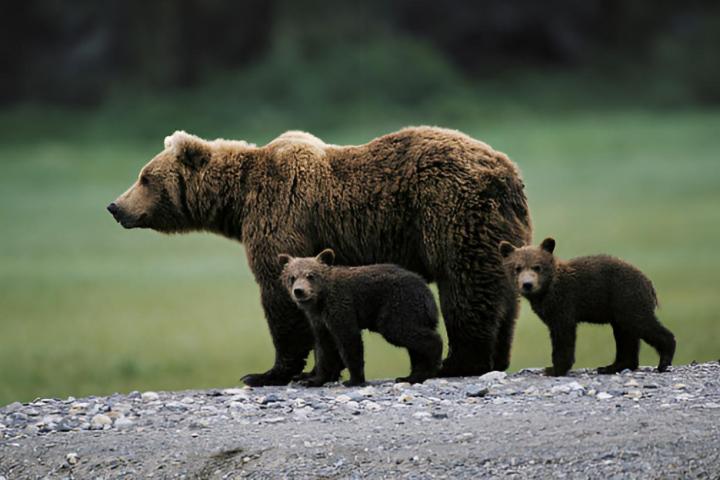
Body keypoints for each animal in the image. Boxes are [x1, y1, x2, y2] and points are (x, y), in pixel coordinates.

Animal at [278, 249, 443, 386]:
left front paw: (354, 380)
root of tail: (428, 292)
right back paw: (410, 376)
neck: (320, 301)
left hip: (399, 305)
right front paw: (313, 380)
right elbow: (324, 348)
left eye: (310, 275)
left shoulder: (341, 306)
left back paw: (430, 367)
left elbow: (349, 341)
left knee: (403, 332)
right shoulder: (319, 321)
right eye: (292, 277)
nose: (299, 291)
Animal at [499, 237, 676, 376]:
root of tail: (648, 282)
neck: (546, 290)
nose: (527, 284)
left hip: (626, 298)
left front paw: (553, 369)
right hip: (619, 309)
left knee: (641, 323)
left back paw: (664, 360)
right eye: (517, 268)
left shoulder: (564, 303)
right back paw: (611, 367)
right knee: (625, 335)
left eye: (537, 266)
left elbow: (563, 335)